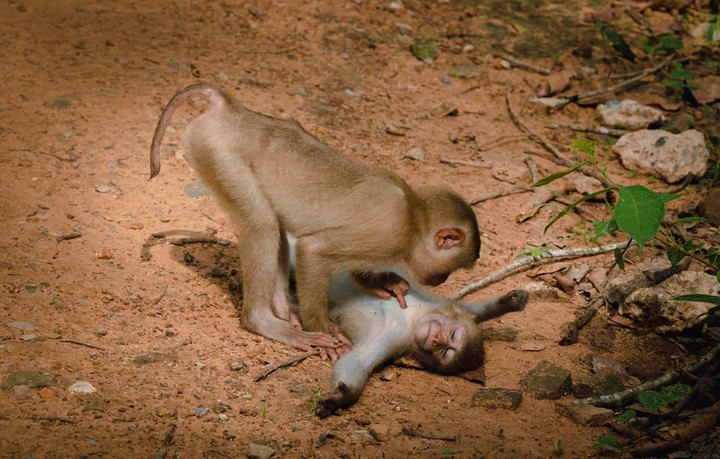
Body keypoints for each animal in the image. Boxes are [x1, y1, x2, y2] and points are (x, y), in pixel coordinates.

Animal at [149, 83, 480, 360]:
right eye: (451, 269)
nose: (441, 280)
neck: (414, 215)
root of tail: (231, 110)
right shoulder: (390, 233)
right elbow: (312, 251)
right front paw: (323, 331)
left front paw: (380, 282)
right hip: (219, 154)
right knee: (263, 224)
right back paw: (266, 321)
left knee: (275, 226)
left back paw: (285, 309)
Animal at [316, 274, 528, 420]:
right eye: (452, 335)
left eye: (446, 352)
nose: (437, 340)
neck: (412, 320)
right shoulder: (432, 304)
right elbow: (466, 309)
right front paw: (508, 302)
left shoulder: (394, 339)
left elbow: (357, 361)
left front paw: (342, 398)